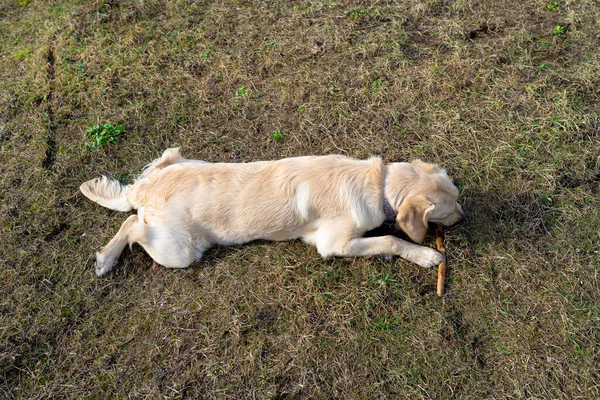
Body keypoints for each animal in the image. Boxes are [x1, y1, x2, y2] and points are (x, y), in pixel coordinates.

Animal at [79, 148, 464, 276]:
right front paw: (425, 255)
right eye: (448, 210)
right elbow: (389, 239)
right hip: (179, 251)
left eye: (459, 198)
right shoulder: (332, 244)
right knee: (131, 223)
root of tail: (147, 189)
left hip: (185, 163)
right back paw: (106, 259)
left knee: (162, 160)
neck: (378, 183)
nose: (465, 216)